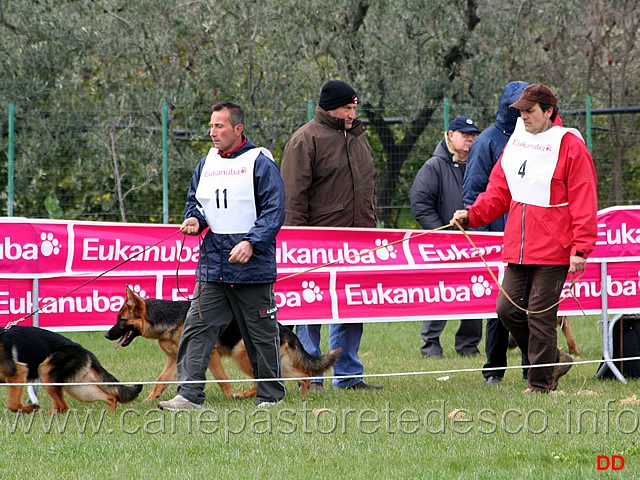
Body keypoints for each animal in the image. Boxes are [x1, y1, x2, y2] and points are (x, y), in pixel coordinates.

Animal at [0, 326, 141, 412]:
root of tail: (84, 350)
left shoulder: (17, 373)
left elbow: (13, 404)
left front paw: (31, 408)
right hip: (78, 387)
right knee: (110, 397)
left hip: (46, 370)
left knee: (62, 406)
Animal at [106, 286, 340, 400]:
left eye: (120, 320)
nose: (107, 336)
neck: (167, 319)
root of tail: (283, 328)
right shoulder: (174, 360)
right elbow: (160, 382)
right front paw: (149, 400)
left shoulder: (211, 356)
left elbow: (223, 380)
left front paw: (228, 398)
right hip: (278, 361)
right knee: (303, 375)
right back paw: (303, 396)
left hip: (242, 355)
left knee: (265, 379)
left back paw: (245, 395)